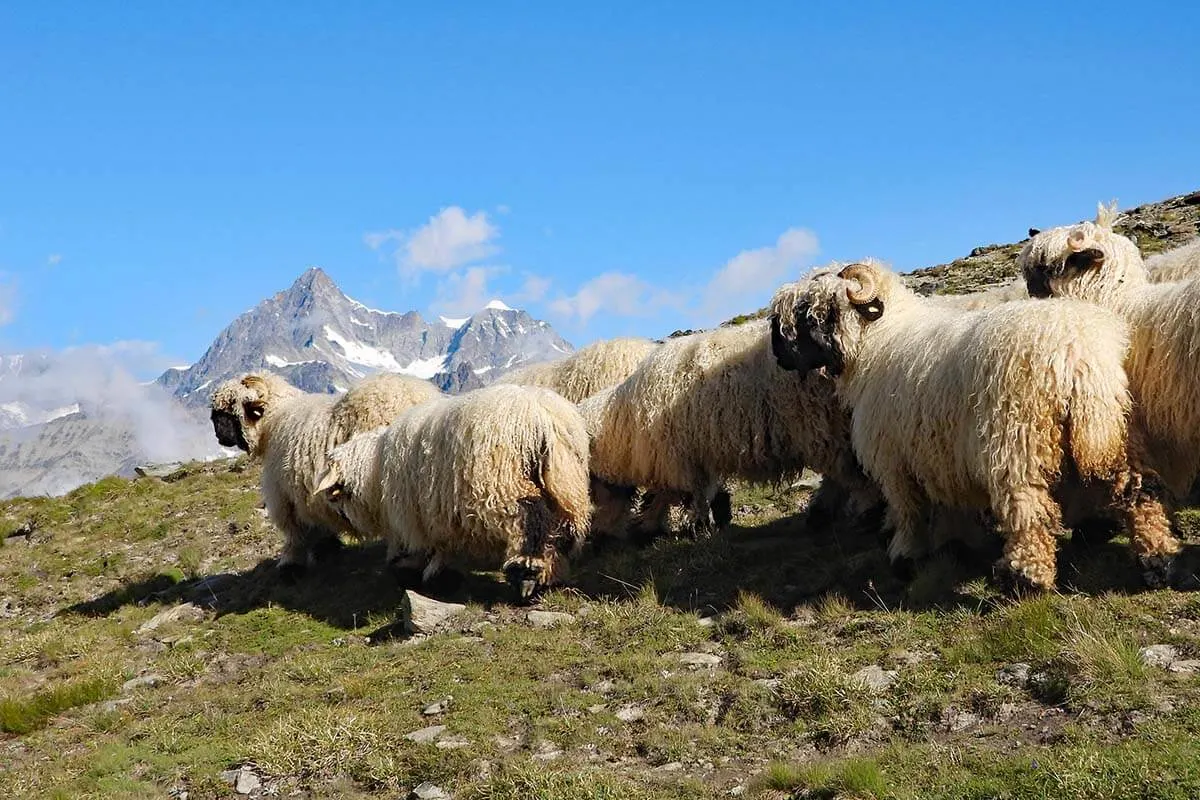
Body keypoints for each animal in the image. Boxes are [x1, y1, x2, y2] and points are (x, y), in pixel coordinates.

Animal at [208, 371, 444, 578]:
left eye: (230, 410)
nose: (219, 437)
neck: (274, 420)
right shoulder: (309, 496)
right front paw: (328, 549)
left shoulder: (285, 495)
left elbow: (295, 532)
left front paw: (291, 564)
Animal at [309, 386, 590, 599]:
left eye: (336, 494)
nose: (342, 522)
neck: (376, 469)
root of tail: (541, 413)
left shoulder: (415, 514)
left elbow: (428, 549)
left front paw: (420, 571)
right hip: (566, 481)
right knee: (564, 526)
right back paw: (551, 575)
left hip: (505, 484)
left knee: (531, 516)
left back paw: (527, 573)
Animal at [768, 260, 1180, 592]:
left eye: (809, 312)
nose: (778, 355)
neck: (877, 343)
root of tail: (1078, 355)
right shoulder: (937, 455)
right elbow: (948, 509)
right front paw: (955, 543)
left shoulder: (894, 459)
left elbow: (907, 510)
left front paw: (905, 556)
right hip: (1115, 428)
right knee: (1139, 489)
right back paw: (1156, 561)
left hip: (1016, 438)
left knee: (1029, 508)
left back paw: (1024, 577)